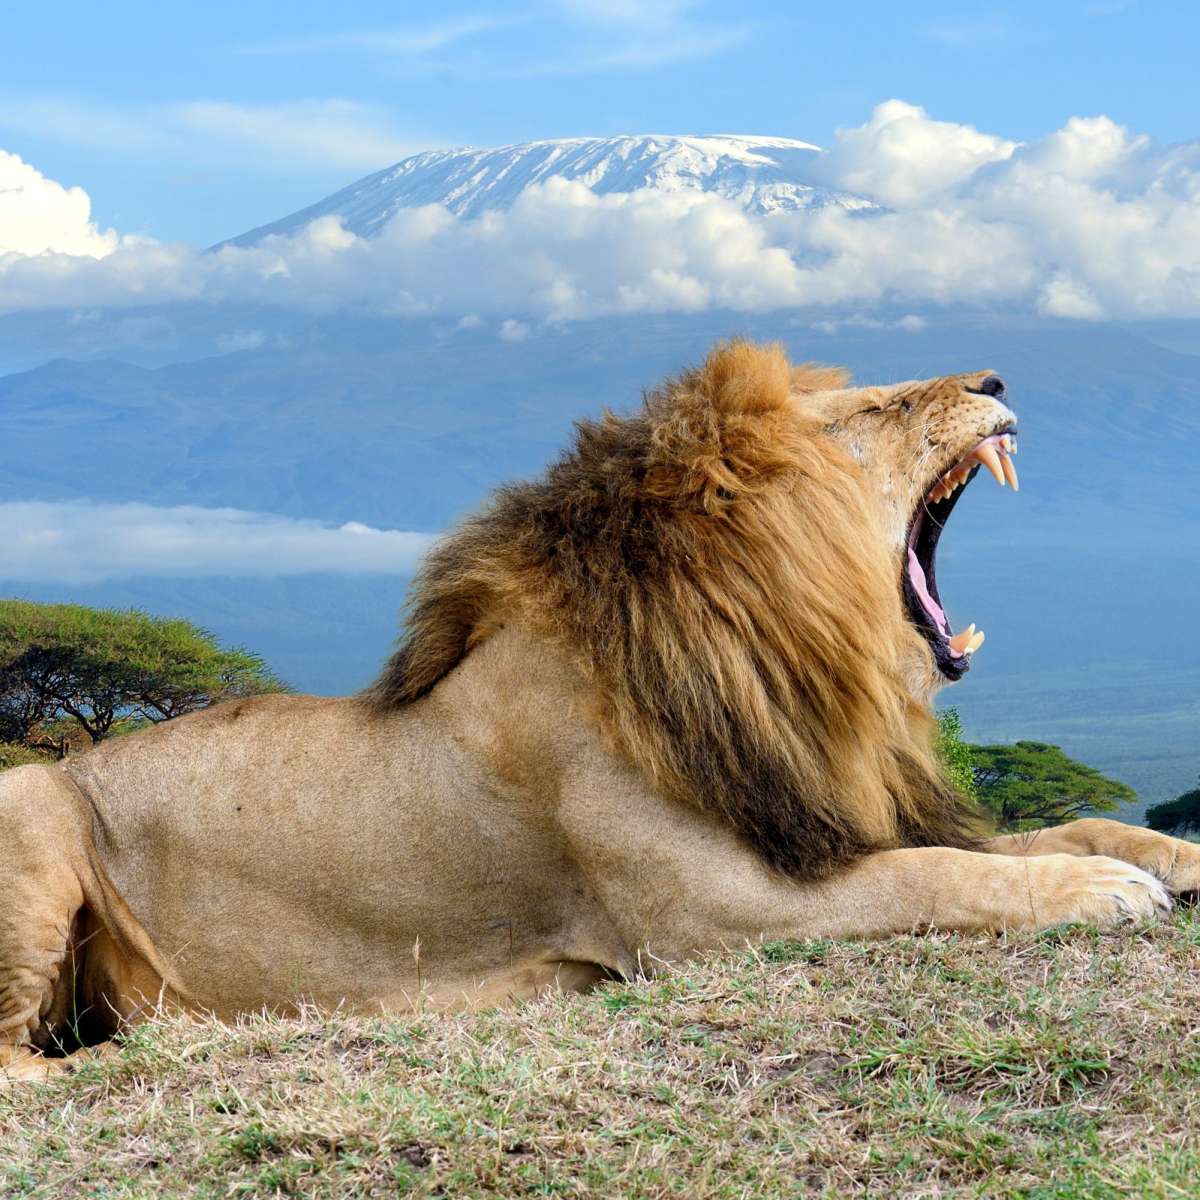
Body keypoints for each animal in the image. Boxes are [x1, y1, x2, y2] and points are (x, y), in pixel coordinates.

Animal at [2, 339, 1196, 1082]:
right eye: (878, 408)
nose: (995, 373)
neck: (787, 660)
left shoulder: (823, 815)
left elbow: (1054, 827)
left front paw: (1161, 857)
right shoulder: (713, 916)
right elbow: (939, 875)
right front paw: (1101, 891)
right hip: (36, 805)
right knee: (26, 1067)